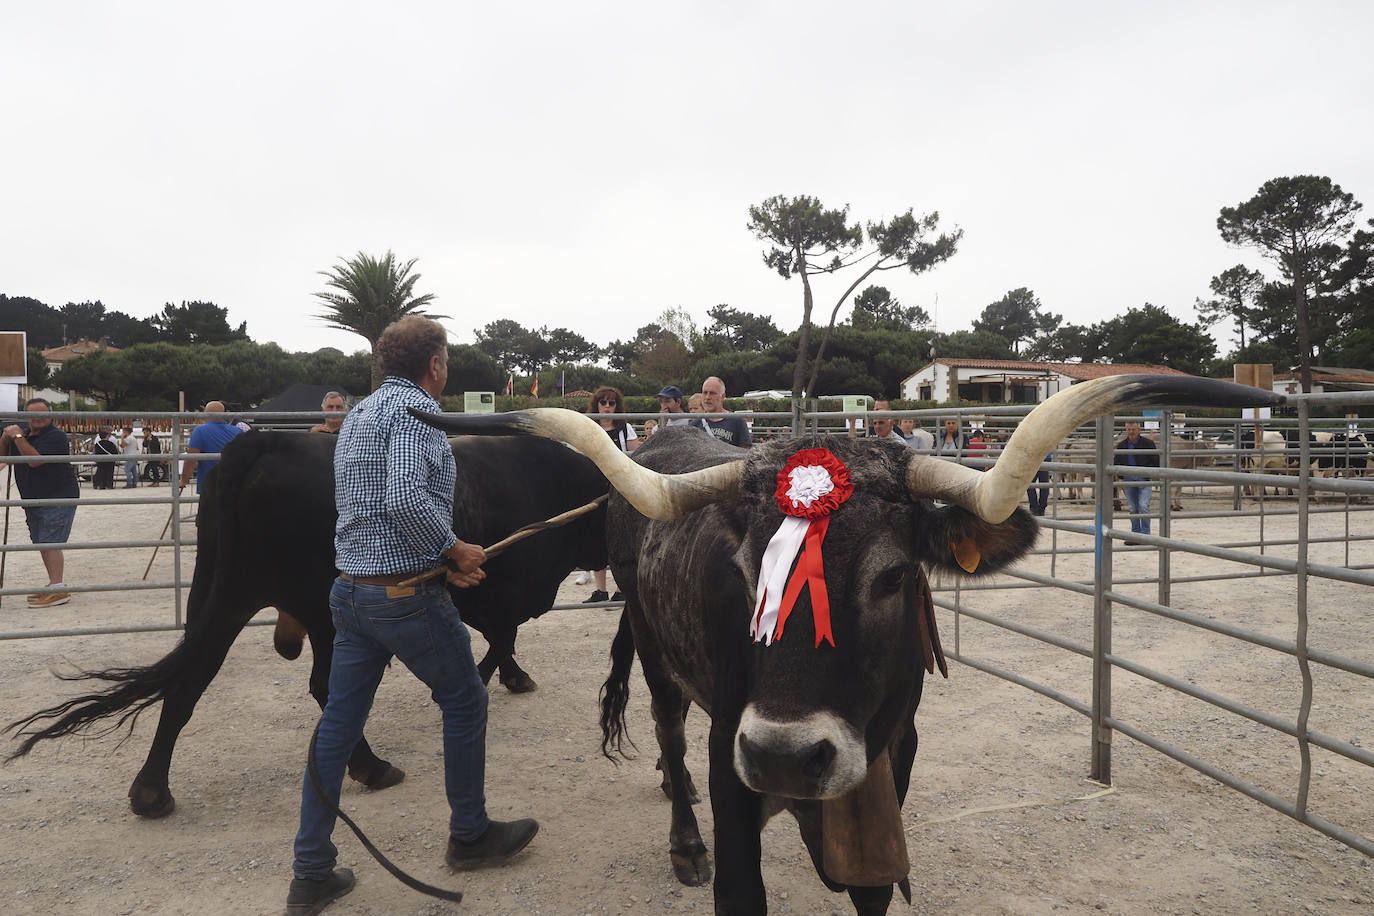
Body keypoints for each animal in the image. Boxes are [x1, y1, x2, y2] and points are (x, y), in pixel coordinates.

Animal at [5, 431, 607, 818]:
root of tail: (269, 441)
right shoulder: (499, 590)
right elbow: (500, 640)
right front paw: (485, 685)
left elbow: (502, 642)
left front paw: (509, 677)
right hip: (325, 615)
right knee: (322, 687)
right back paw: (371, 766)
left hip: (220, 599)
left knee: (189, 682)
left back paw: (152, 791)